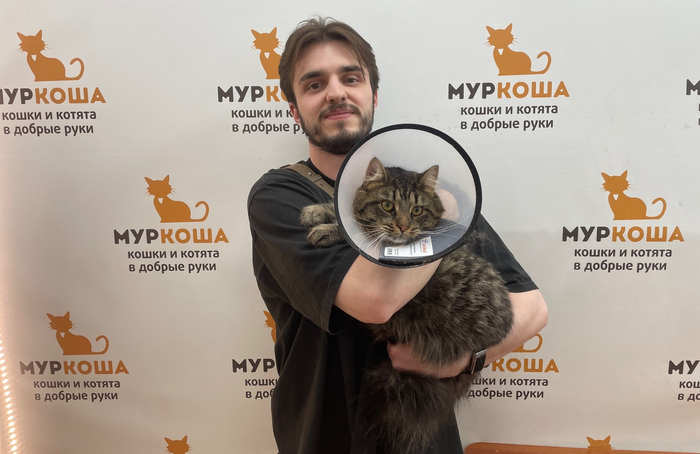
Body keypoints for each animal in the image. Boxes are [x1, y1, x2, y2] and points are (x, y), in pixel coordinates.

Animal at [300, 158, 513, 454]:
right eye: (387, 206)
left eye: (416, 210)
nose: (402, 227)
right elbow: (346, 214)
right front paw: (316, 211)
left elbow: (358, 233)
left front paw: (325, 229)